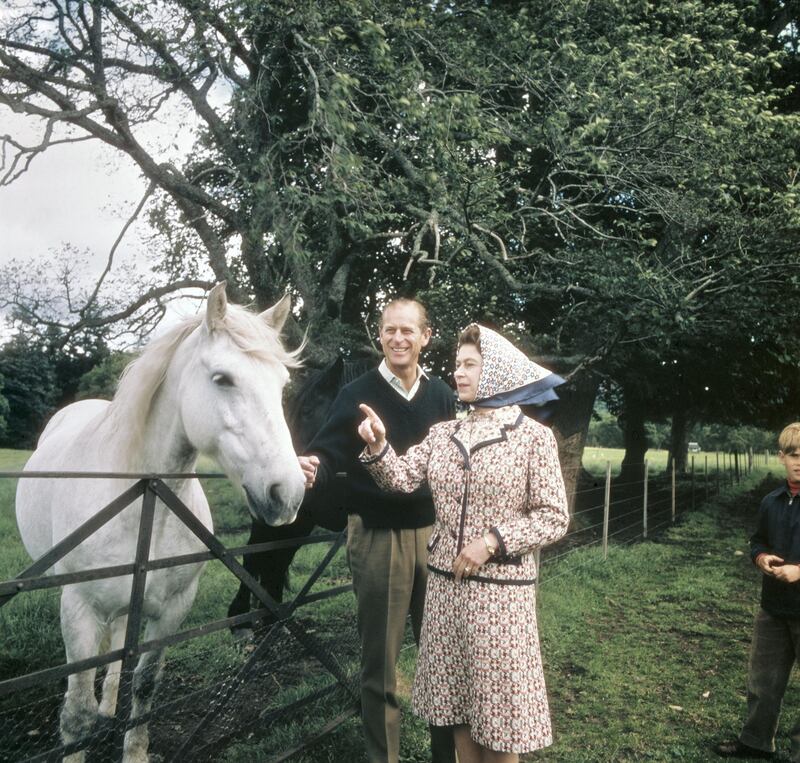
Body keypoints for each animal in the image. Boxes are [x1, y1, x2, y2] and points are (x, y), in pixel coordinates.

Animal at [13, 284, 306, 760]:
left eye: (281, 385)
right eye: (222, 379)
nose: (289, 493)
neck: (147, 500)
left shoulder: (172, 611)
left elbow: (146, 687)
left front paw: (134, 749)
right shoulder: (79, 610)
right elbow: (75, 711)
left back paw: (109, 706)